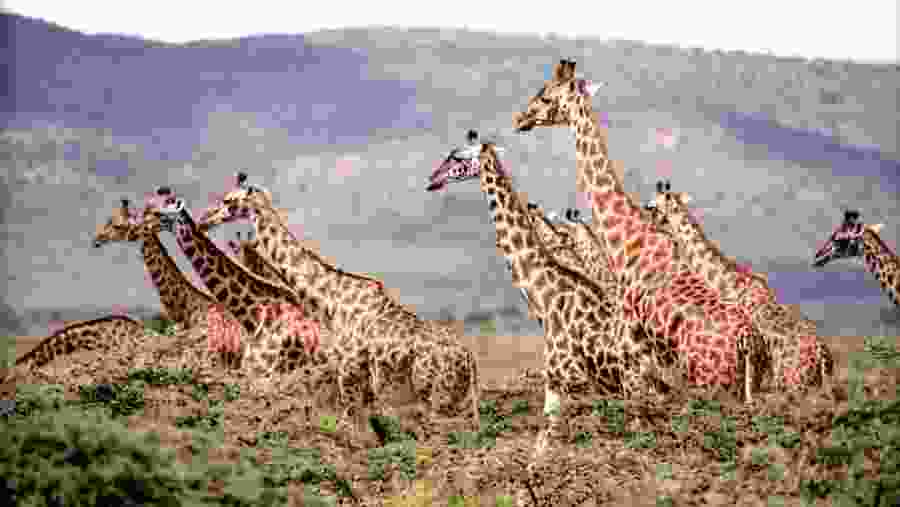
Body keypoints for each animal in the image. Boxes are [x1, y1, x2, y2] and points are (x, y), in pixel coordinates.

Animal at [152, 188, 481, 432]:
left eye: (229, 201)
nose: (205, 219)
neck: (333, 302)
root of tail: (469, 360)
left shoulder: (349, 372)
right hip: (455, 398)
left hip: (437, 395)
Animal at [426, 132, 682, 454]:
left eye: (457, 157)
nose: (432, 179)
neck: (545, 297)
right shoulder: (564, 383)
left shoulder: (565, 378)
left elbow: (545, 442)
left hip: (637, 390)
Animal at [513, 59, 767, 402]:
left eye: (545, 96)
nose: (520, 119)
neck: (626, 235)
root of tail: (748, 344)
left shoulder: (630, 336)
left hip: (711, 384)